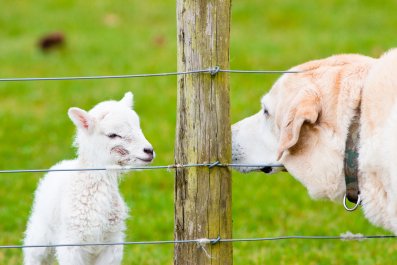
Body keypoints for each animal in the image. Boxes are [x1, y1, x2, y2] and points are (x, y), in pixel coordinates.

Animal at [22, 91, 154, 264]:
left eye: (138, 127)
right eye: (113, 135)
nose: (149, 151)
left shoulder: (112, 245)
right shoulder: (70, 245)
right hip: (39, 233)